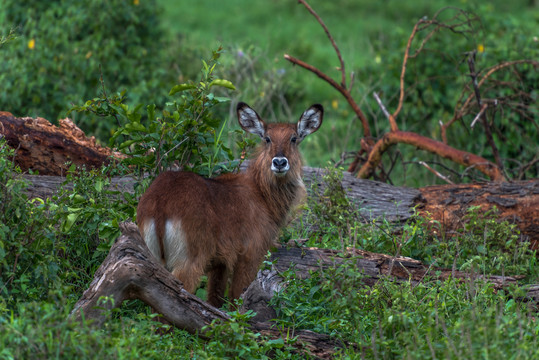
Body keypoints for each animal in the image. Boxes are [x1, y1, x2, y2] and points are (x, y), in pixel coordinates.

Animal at [137, 101, 322, 306]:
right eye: (267, 138)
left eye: (294, 138)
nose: (280, 162)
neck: (261, 195)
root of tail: (160, 204)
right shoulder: (251, 253)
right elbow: (237, 297)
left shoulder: (221, 263)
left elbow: (215, 298)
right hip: (189, 261)